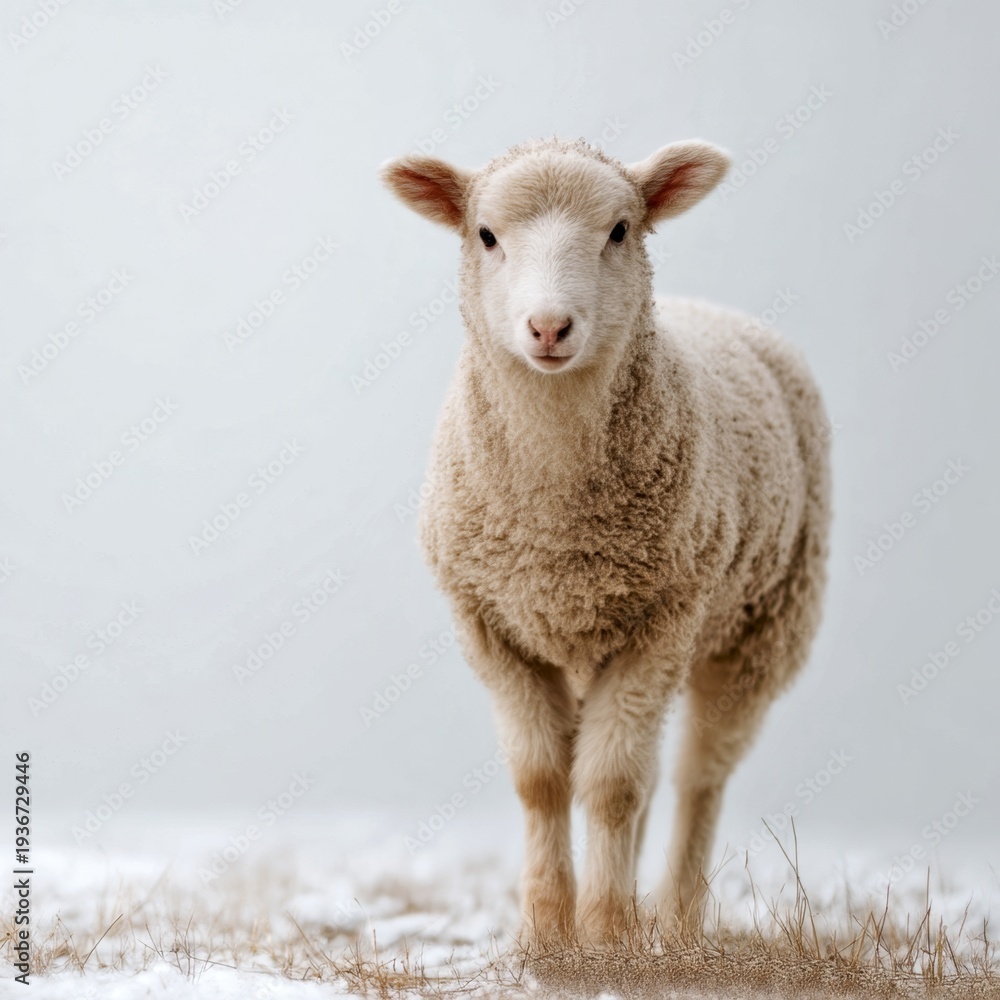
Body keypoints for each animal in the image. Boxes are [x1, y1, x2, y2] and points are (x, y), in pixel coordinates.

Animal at [381, 137, 831, 949]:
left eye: (620, 230)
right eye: (485, 235)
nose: (549, 328)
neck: (556, 523)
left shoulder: (663, 619)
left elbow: (613, 785)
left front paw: (607, 938)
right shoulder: (492, 625)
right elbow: (543, 779)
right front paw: (547, 934)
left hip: (759, 629)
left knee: (694, 777)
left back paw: (677, 924)